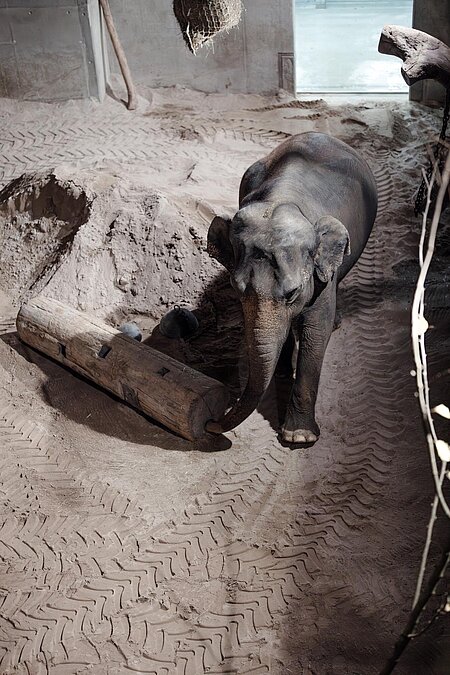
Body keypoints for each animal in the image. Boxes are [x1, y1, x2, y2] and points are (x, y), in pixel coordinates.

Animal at [206, 131, 378, 444]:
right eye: (236, 289)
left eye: (293, 293)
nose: (211, 423)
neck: (281, 201)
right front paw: (282, 374)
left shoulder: (320, 280)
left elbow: (316, 329)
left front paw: (299, 438)